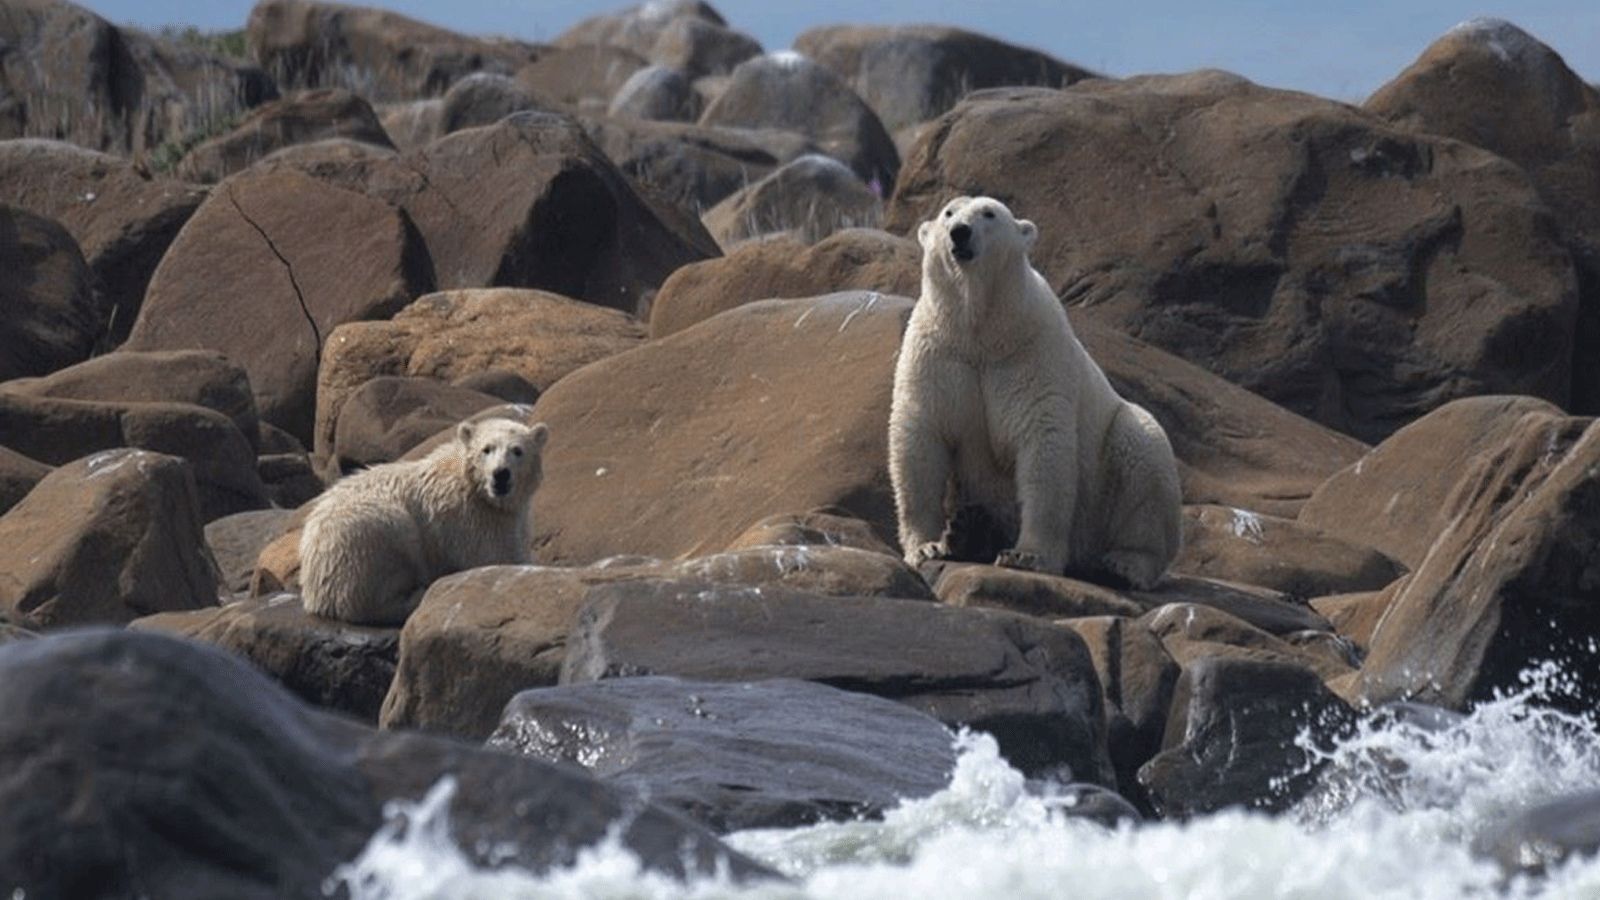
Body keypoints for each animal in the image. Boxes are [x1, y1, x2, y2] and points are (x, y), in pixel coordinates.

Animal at [299, 413, 550, 624]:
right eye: (487, 449)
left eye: (517, 450)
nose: (500, 474)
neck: (472, 485)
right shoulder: (469, 520)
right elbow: (495, 558)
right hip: (362, 535)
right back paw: (415, 596)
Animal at [889, 194, 1190, 589]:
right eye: (948, 213)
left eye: (989, 213)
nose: (960, 232)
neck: (982, 331)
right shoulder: (940, 355)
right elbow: (920, 439)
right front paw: (927, 546)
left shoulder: (1031, 352)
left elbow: (1042, 443)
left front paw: (1026, 556)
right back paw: (968, 532)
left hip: (1110, 472)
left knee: (1144, 459)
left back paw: (1123, 565)